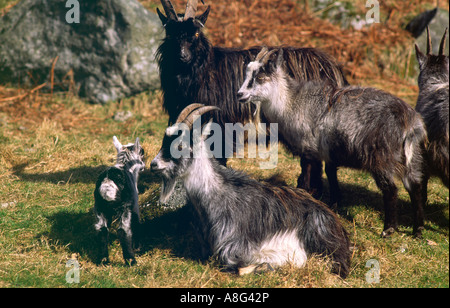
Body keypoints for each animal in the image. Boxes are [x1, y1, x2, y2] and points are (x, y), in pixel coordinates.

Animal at [151, 104, 352, 280]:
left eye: (181, 145)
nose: (153, 164)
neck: (217, 193)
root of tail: (338, 229)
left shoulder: (234, 248)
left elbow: (237, 266)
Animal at [155, 0, 348, 197]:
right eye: (170, 33)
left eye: (195, 33)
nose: (183, 56)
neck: (206, 71)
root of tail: (331, 68)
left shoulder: (221, 127)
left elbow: (219, 158)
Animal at [237, 47, 428, 237]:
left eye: (260, 77)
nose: (240, 94)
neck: (291, 102)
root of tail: (410, 122)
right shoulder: (329, 151)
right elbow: (330, 173)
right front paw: (334, 202)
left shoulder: (309, 147)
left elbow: (308, 173)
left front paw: (307, 195)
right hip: (413, 156)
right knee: (415, 187)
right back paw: (418, 229)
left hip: (382, 158)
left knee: (391, 190)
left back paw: (389, 229)